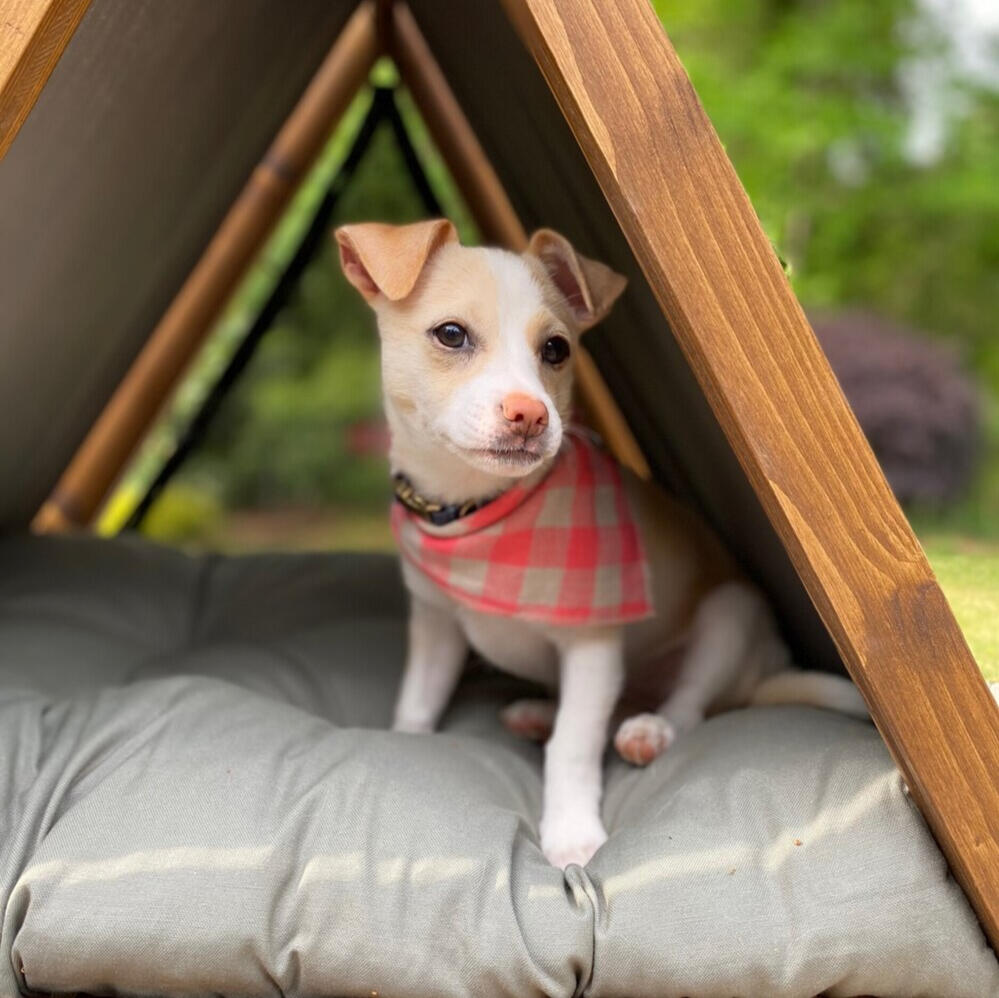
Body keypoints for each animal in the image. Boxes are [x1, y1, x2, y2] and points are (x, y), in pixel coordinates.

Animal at [336, 219, 868, 868]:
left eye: (556, 350)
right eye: (451, 335)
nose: (530, 415)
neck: (477, 512)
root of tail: (758, 677)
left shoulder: (592, 649)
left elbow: (573, 746)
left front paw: (571, 834)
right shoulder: (436, 622)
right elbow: (419, 696)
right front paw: (405, 739)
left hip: (730, 617)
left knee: (689, 704)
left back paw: (649, 731)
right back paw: (539, 713)